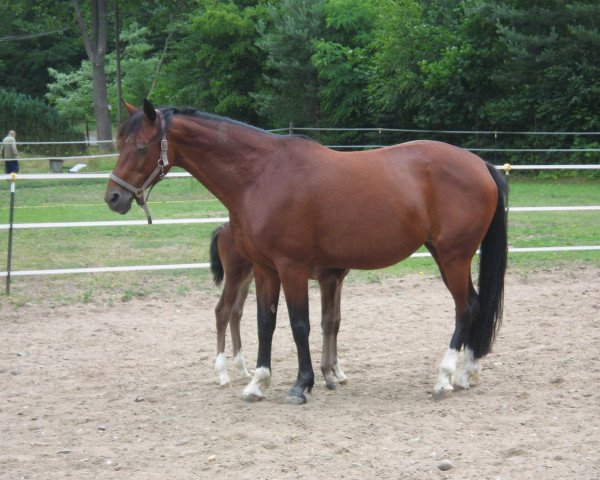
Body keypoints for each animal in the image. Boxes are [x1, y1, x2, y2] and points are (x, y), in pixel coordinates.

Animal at [210, 223, 346, 388]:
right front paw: (328, 375)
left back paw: (242, 369)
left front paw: (338, 372)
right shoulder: (327, 279)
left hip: (249, 276)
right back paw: (223, 374)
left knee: (235, 313)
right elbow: (328, 323)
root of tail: (222, 229)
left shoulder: (338, 280)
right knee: (222, 311)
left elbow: (336, 322)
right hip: (235, 275)